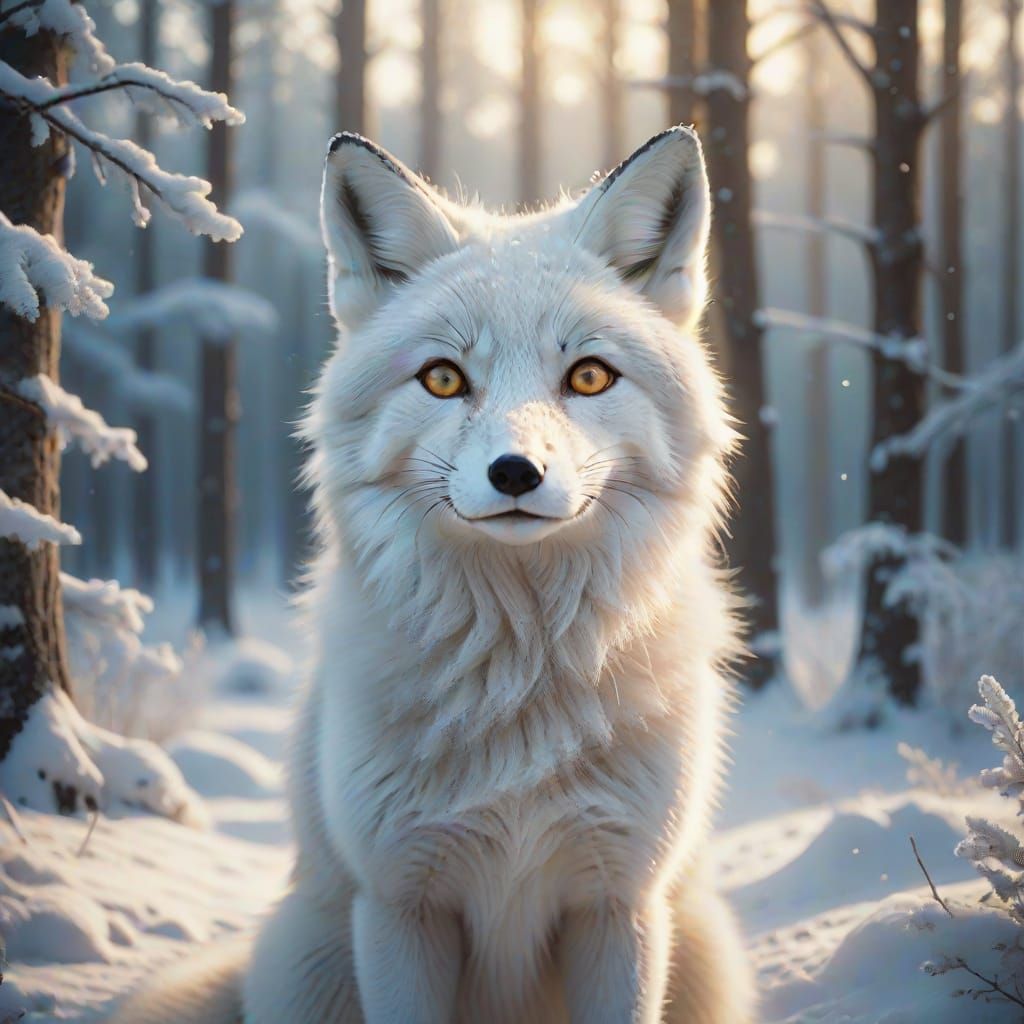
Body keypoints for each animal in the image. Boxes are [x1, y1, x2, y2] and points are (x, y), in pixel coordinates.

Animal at [110, 125, 754, 1024]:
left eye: (589, 375)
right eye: (444, 378)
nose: (516, 472)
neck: (521, 679)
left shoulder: (617, 906)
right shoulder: (400, 908)